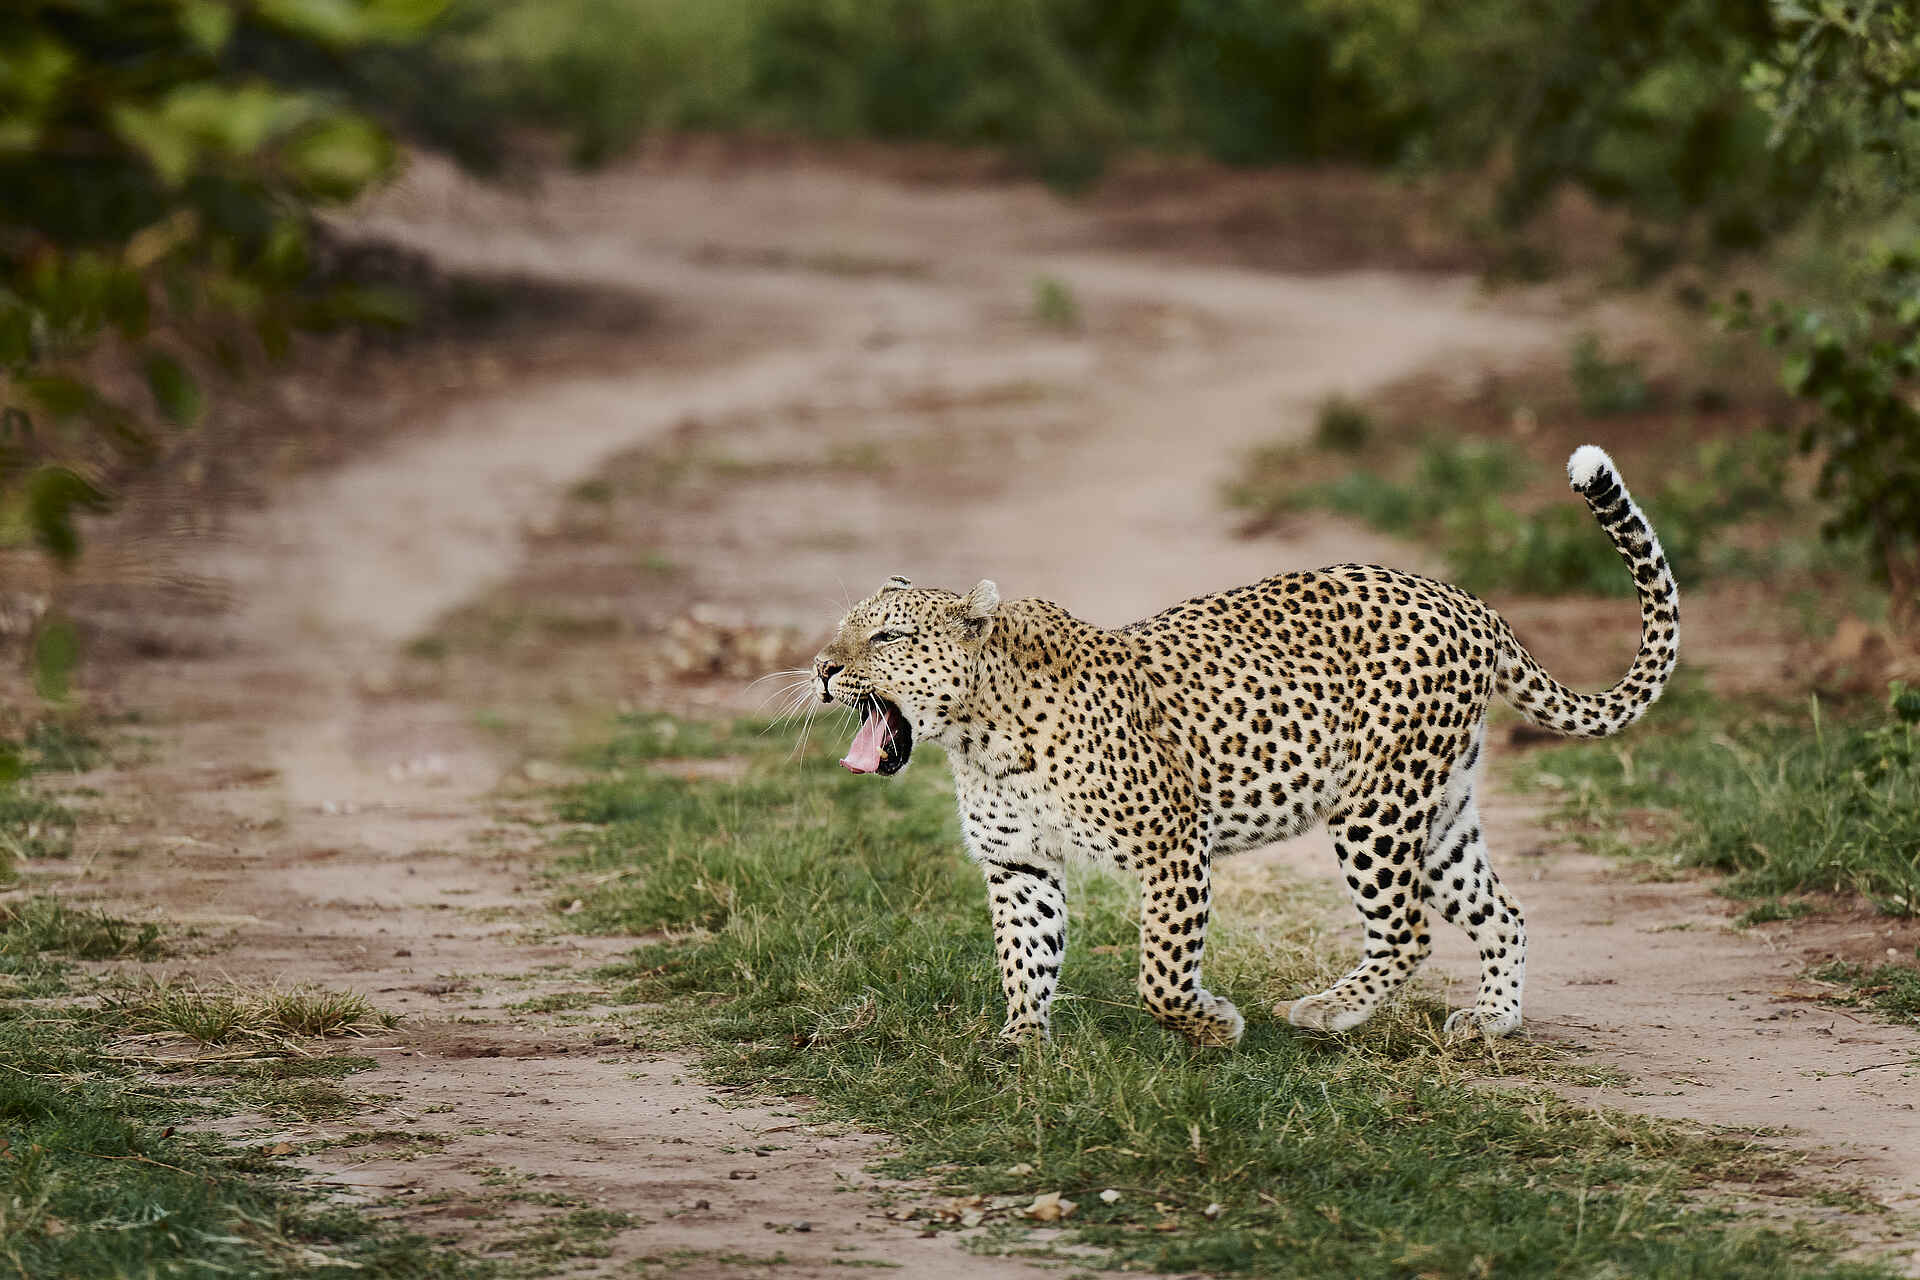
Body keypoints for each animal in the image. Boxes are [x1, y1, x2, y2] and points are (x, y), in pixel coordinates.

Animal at [810, 446, 1677, 1046]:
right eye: (843, 628)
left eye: (886, 637)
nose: (821, 668)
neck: (979, 734)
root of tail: (1470, 602)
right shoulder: (1018, 862)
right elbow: (1025, 956)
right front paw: (1021, 1042)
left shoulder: (1171, 841)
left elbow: (1160, 972)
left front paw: (1213, 1025)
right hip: (1442, 813)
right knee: (1502, 913)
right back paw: (1491, 1019)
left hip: (1377, 805)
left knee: (1409, 928)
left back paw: (1329, 1010)